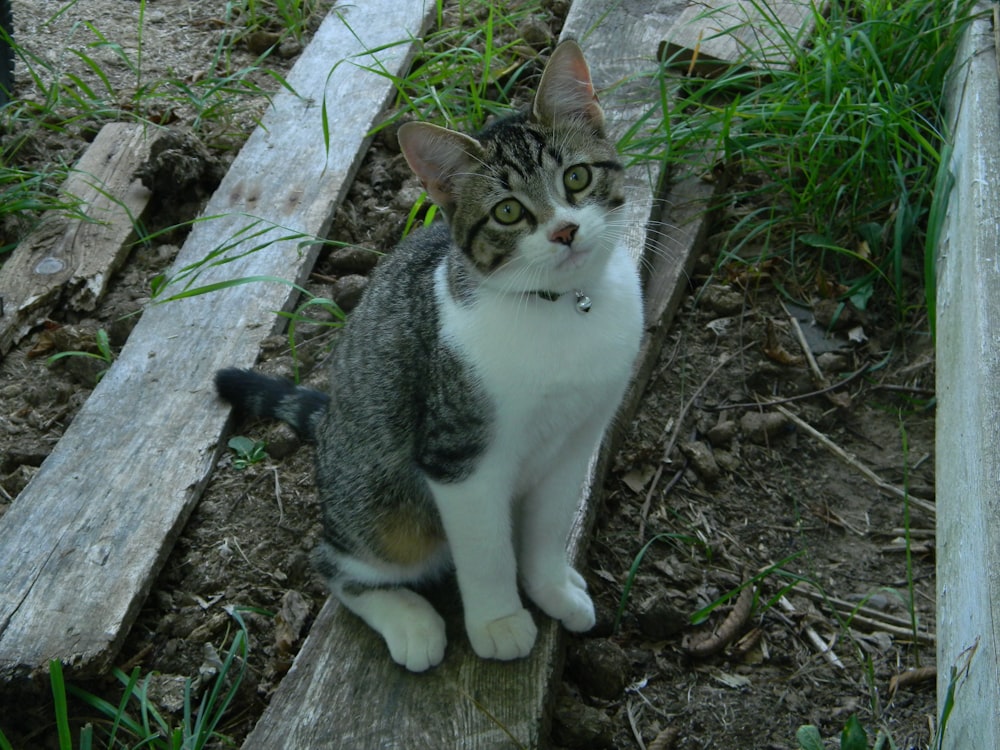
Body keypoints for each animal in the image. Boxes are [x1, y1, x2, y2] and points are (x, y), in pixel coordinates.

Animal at [215, 39, 644, 676]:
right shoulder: (456, 456)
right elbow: (486, 550)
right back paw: (410, 621)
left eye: (577, 176)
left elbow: (545, 527)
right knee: (337, 562)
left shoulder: (577, 439)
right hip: (381, 505)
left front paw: (551, 590)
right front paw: (498, 622)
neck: (562, 310)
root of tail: (330, 422)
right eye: (508, 212)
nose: (565, 232)